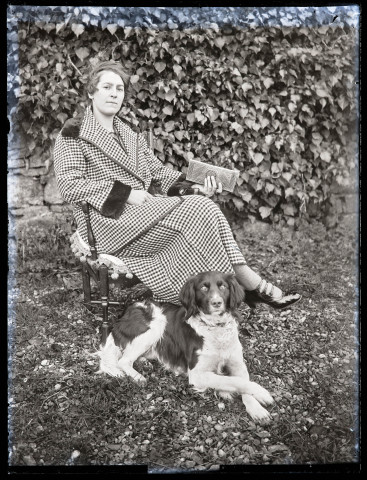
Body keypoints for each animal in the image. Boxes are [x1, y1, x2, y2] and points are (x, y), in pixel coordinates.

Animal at [99, 272, 274, 422]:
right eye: (203, 288)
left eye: (223, 286)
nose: (217, 303)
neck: (215, 327)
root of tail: (127, 310)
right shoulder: (196, 374)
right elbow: (234, 381)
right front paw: (263, 394)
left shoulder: (238, 364)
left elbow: (239, 381)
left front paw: (256, 409)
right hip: (156, 324)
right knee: (123, 361)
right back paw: (138, 376)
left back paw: (144, 363)